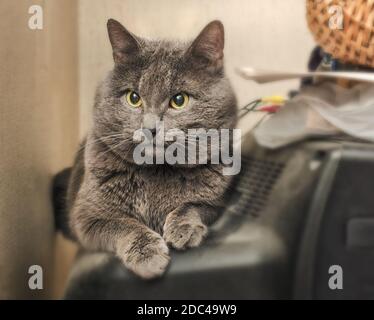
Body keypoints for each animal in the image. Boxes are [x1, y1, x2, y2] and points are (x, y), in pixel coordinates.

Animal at [53, 18, 237, 278]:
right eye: (133, 97)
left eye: (179, 100)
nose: (150, 128)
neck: (156, 171)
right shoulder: (85, 216)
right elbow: (122, 224)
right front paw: (148, 256)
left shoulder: (218, 202)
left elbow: (192, 205)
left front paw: (184, 228)